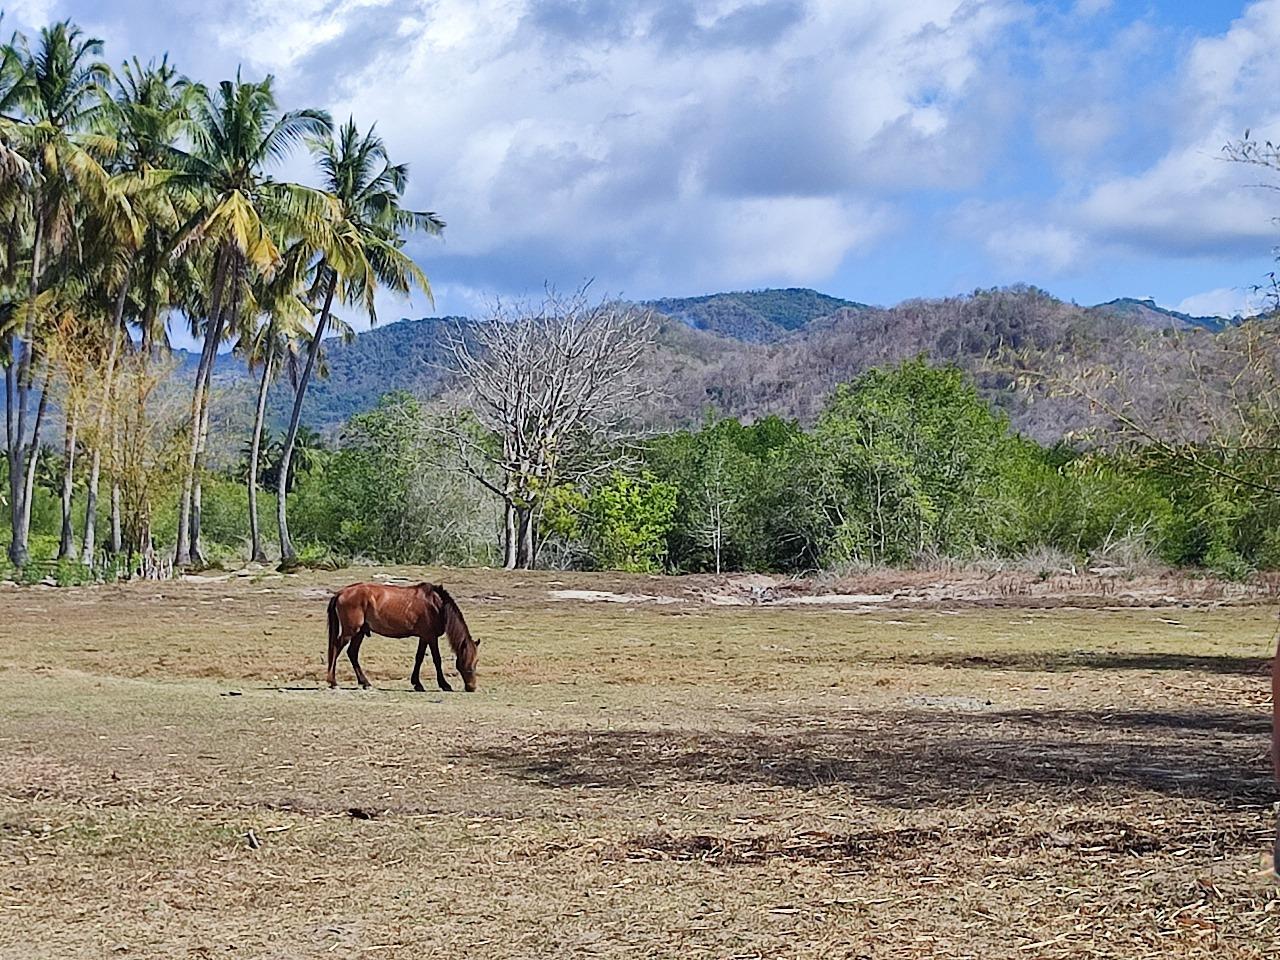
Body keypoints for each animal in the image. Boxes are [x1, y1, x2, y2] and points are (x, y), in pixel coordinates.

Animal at [325, 583, 481, 696]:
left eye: (476, 661)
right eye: (467, 663)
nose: (472, 687)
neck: (437, 605)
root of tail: (341, 593)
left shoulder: (424, 637)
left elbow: (419, 658)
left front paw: (417, 683)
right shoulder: (430, 637)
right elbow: (437, 660)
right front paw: (444, 684)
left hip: (359, 633)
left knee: (352, 653)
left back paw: (365, 683)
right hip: (350, 631)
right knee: (336, 648)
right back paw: (333, 682)